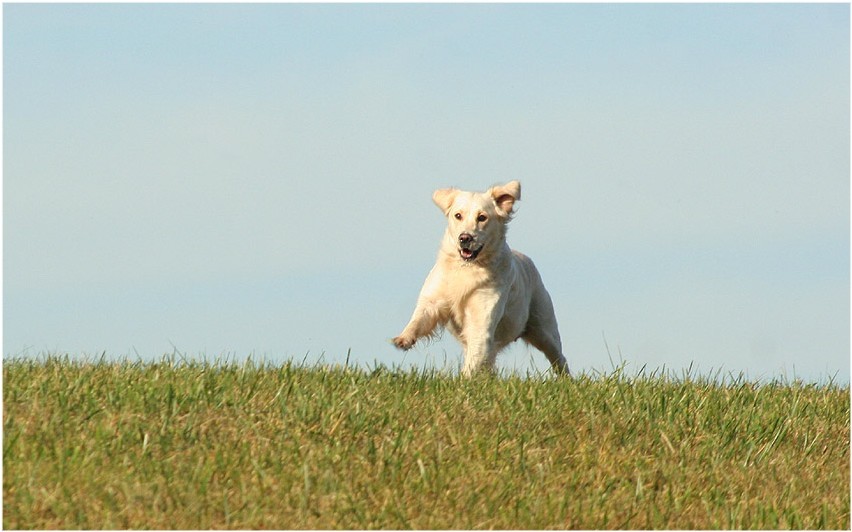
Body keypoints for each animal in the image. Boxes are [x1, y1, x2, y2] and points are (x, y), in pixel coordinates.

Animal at [394, 181, 568, 376]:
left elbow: (475, 355)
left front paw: (465, 379)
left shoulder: (482, 319)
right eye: (458, 215)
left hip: (543, 327)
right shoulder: (434, 299)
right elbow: (419, 318)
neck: (468, 268)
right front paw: (403, 338)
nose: (465, 238)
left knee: (559, 357)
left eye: (482, 217)